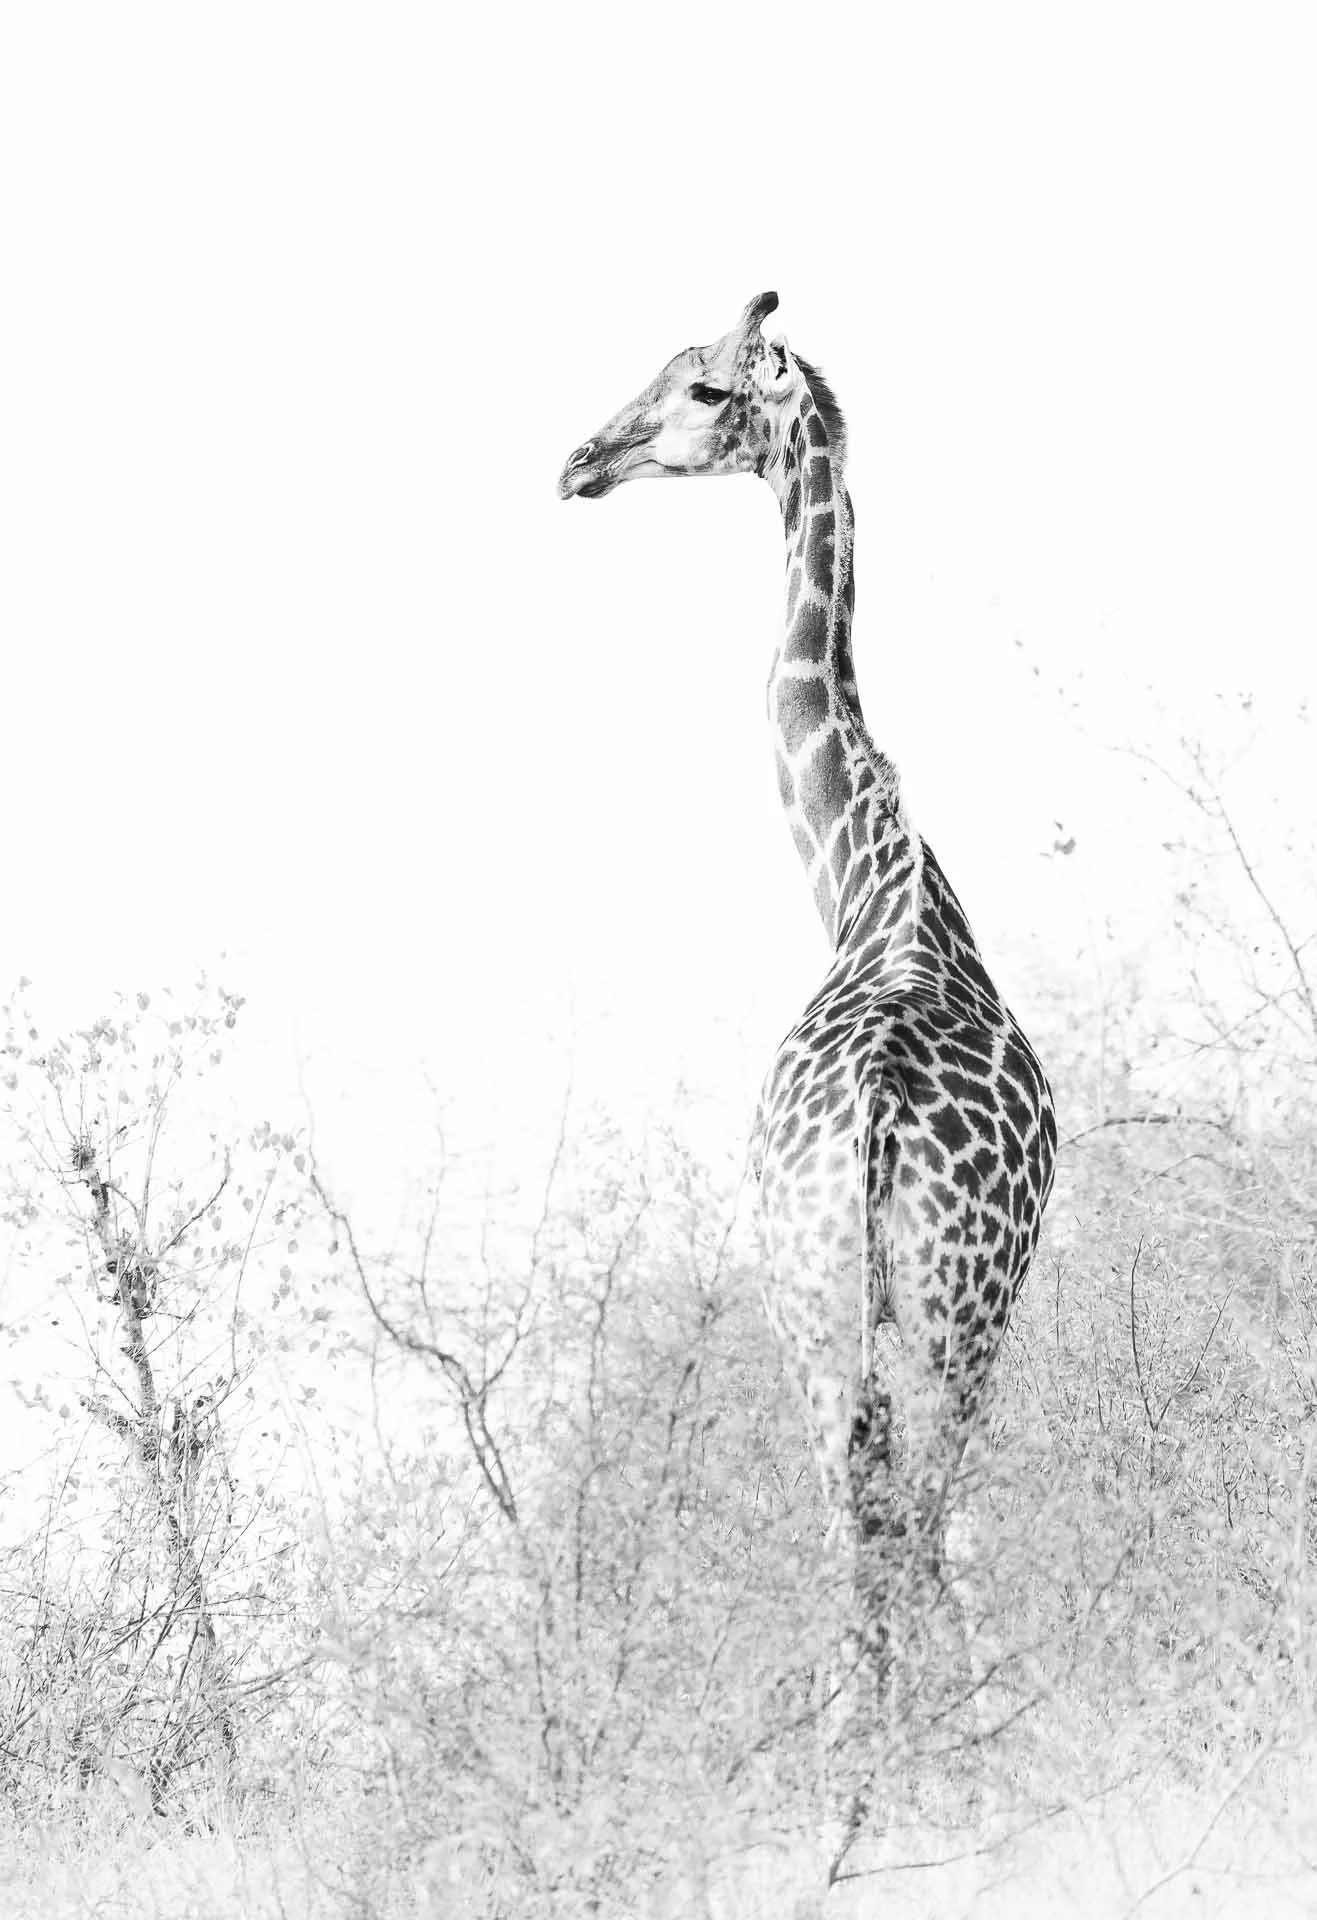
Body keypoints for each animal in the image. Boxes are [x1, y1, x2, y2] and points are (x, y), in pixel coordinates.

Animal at [558, 292, 1056, 1670]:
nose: (580, 462)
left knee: (881, 1546)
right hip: (927, 1318)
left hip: (846, 1317)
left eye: (705, 389)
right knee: (911, 1541)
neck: (867, 874)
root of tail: (879, 1119)